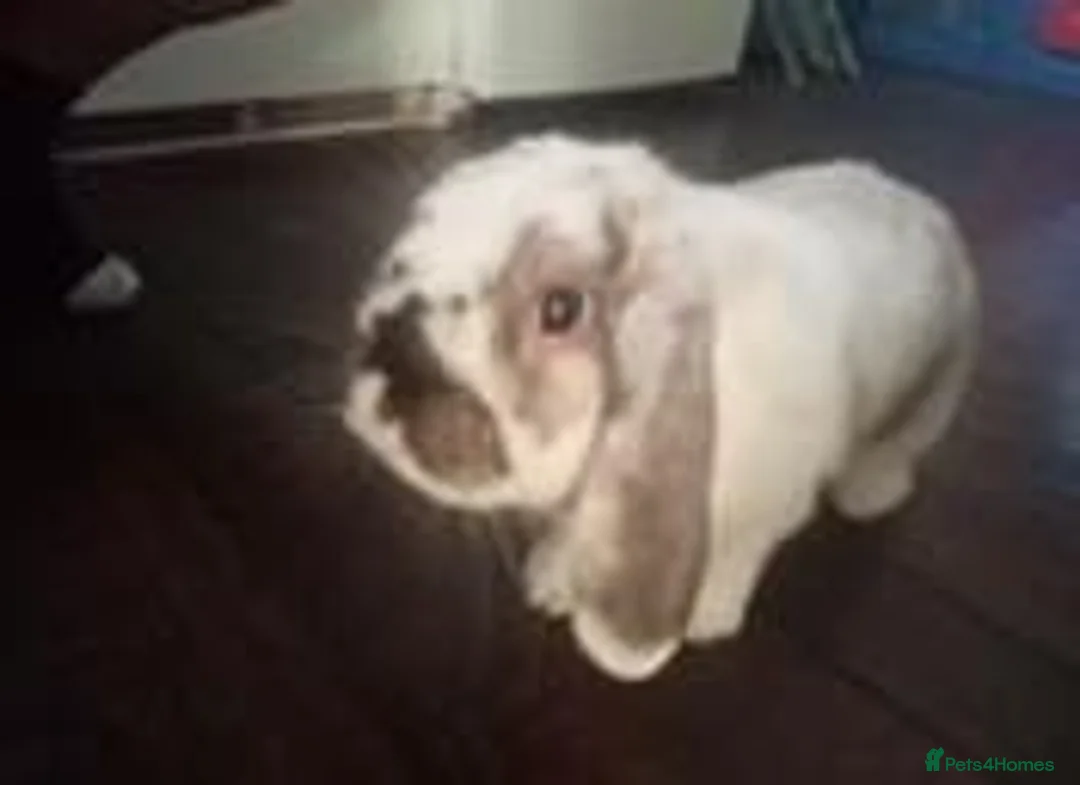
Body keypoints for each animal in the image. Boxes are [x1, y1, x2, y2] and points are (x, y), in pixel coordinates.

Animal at [343, 134, 979, 682]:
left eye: (561, 309)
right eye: (401, 260)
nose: (390, 358)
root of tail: (917, 199)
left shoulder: (762, 509)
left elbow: (732, 559)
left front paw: (705, 624)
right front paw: (548, 584)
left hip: (933, 398)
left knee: (894, 451)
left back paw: (869, 498)